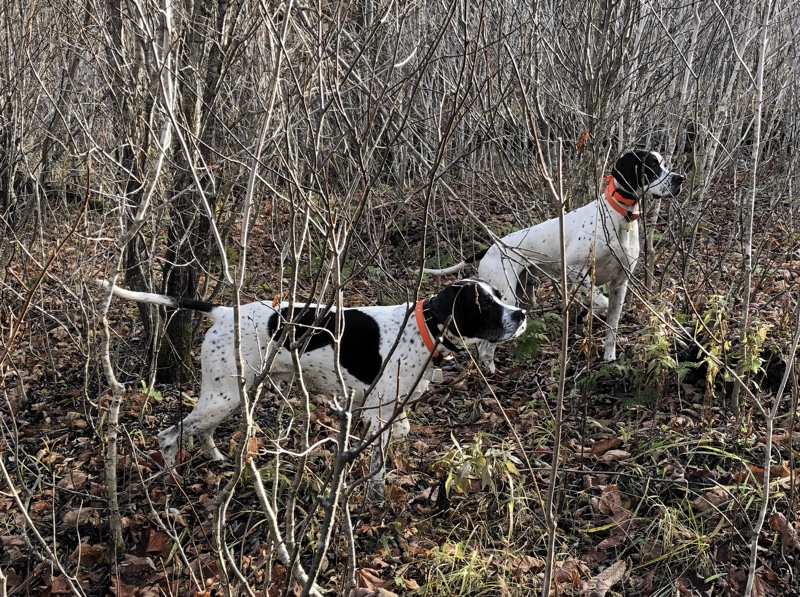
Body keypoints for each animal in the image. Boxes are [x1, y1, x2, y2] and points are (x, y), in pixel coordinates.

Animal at [98, 278, 524, 496]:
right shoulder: (377, 414)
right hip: (223, 396)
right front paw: (376, 498)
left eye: (500, 296)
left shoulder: (383, 410)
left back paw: (217, 459)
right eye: (483, 303)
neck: (424, 328)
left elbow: (401, 429)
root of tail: (224, 311)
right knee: (170, 435)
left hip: (232, 394)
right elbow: (378, 467)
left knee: (202, 431)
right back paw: (172, 481)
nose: (521, 314)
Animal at [424, 149, 688, 370]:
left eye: (664, 164)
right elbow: (598, 301)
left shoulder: (620, 284)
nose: (680, 179)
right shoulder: (573, 269)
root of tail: (492, 247)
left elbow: (611, 326)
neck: (621, 217)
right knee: (484, 346)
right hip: (506, 295)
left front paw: (609, 357)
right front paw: (585, 314)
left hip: (524, 297)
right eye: (651, 165)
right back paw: (490, 372)